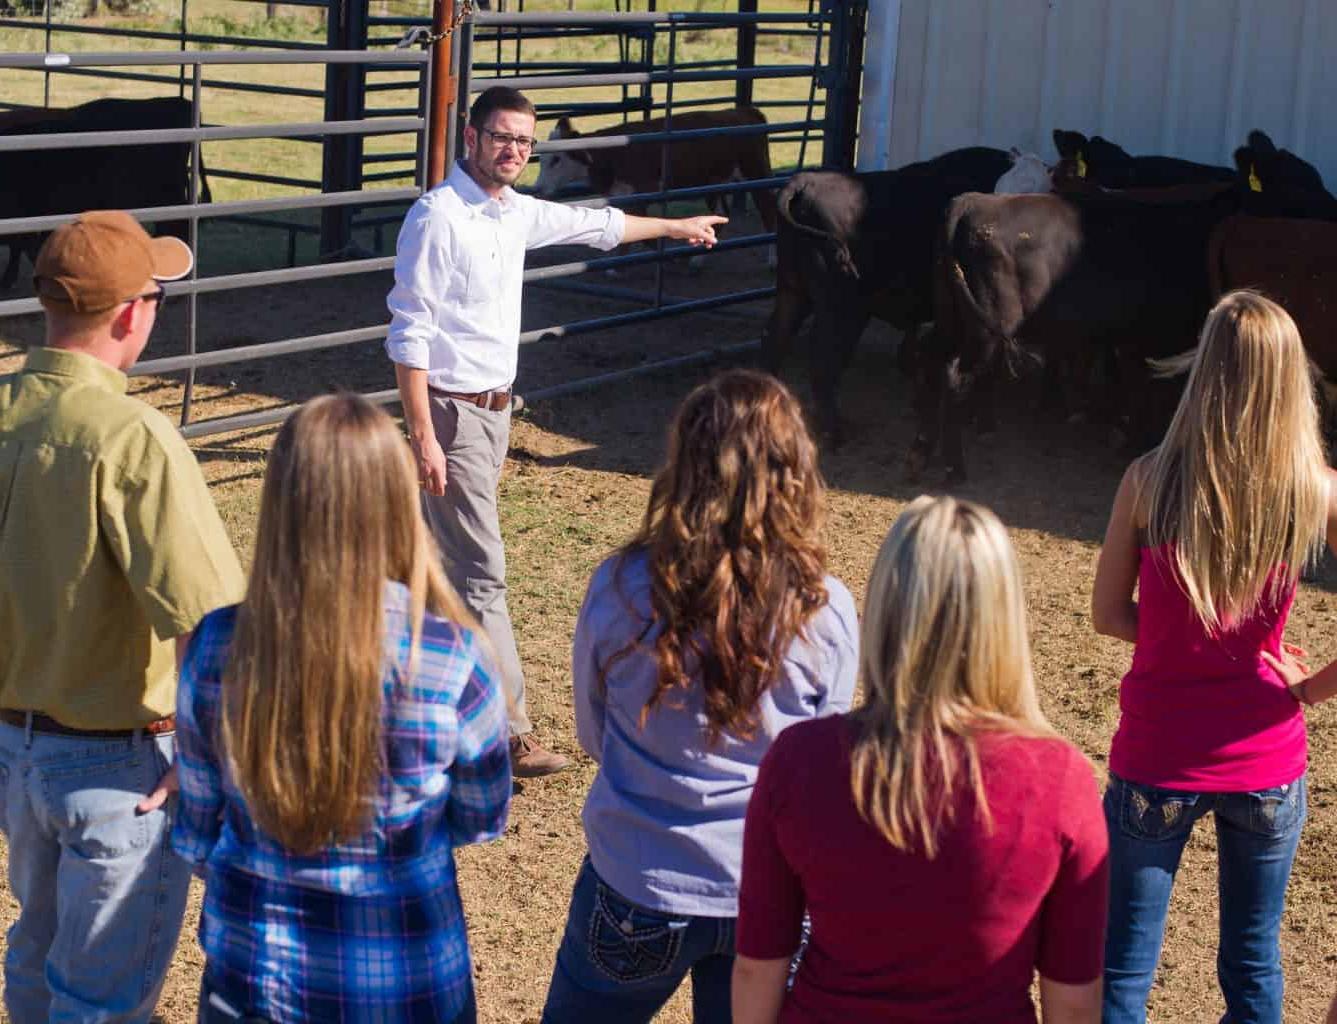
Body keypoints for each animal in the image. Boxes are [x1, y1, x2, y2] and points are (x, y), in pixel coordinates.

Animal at [759, 146, 1005, 443]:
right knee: (822, 358)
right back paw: (834, 431)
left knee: (775, 341)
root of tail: (804, 183)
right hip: (842, 308)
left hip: (793, 293)